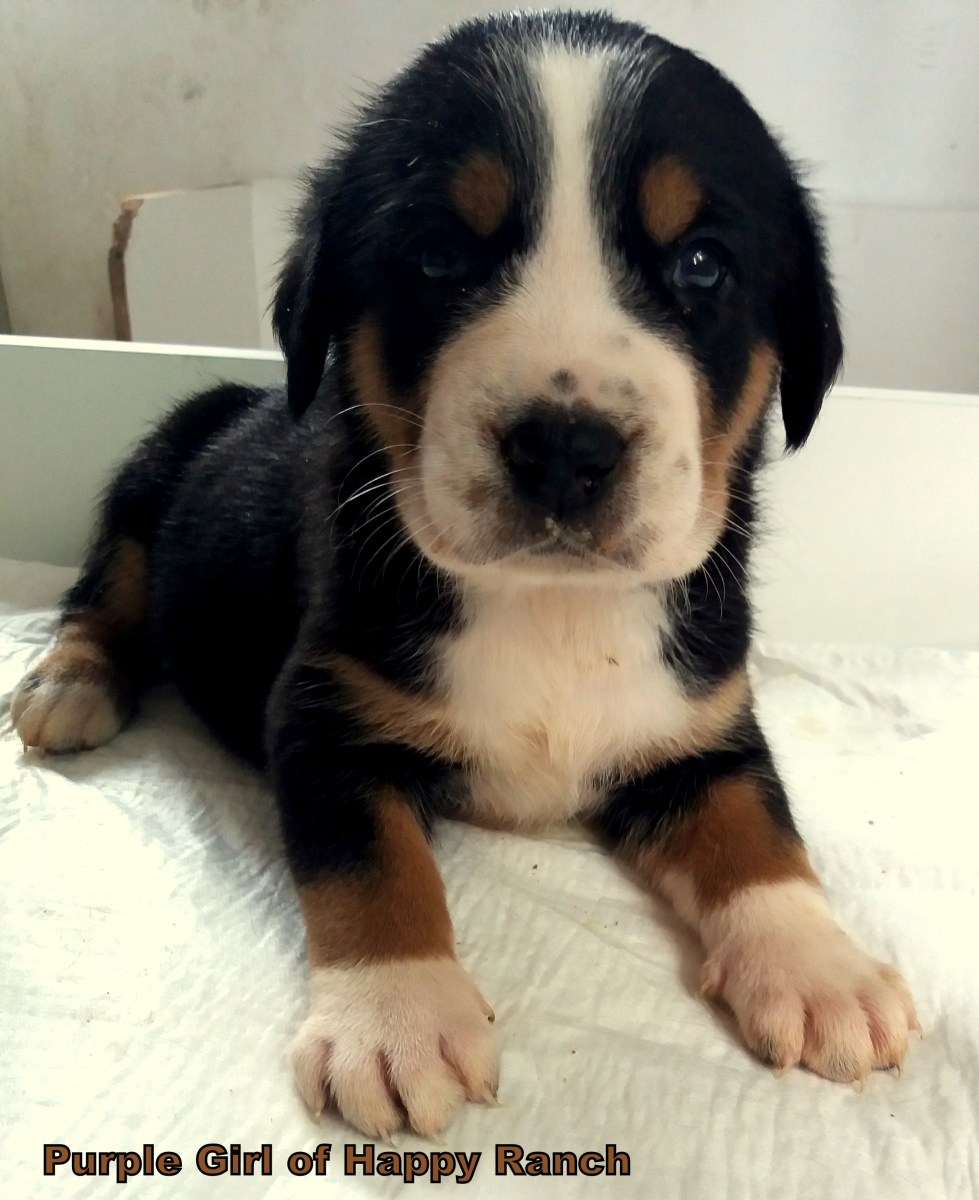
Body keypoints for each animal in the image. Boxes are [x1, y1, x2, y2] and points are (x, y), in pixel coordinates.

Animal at [11, 10, 918, 1137]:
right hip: (153, 469)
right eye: (438, 255)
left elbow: (758, 829)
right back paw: (70, 684)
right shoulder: (322, 714)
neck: (553, 607)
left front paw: (816, 965)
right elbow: (374, 869)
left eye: (703, 266)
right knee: (102, 591)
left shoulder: (703, 720)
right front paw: (396, 1021)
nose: (565, 447)